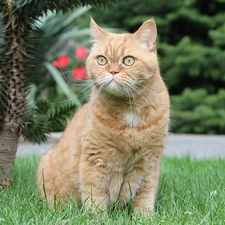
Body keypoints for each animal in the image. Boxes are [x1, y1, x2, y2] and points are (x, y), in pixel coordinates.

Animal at [37, 17, 170, 214]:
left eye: (128, 60)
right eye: (102, 60)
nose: (112, 72)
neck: (129, 109)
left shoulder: (149, 163)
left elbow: (145, 196)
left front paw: (145, 217)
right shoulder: (95, 160)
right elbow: (95, 197)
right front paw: (97, 217)